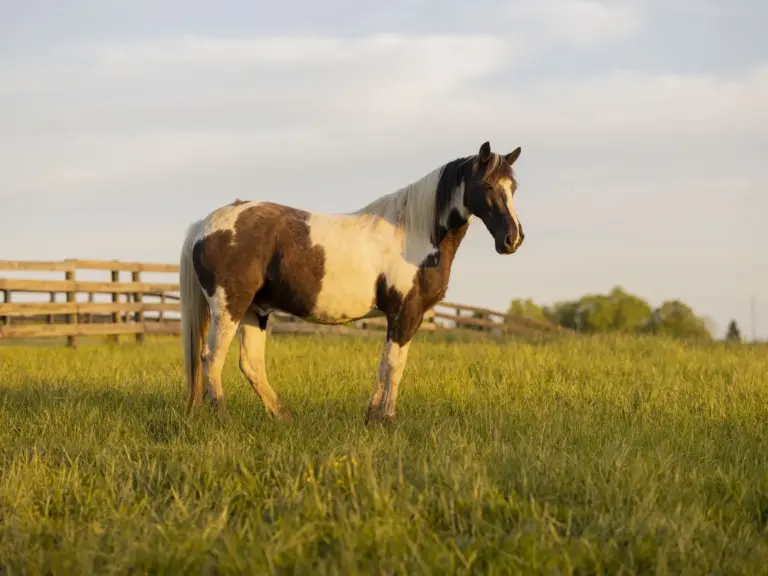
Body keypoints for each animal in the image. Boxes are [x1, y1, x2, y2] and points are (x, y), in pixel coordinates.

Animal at [179, 141, 525, 425]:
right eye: (487, 184)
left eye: (514, 187)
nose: (513, 239)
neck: (413, 232)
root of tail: (203, 225)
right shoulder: (405, 313)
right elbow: (394, 365)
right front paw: (386, 419)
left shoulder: (403, 316)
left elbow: (387, 365)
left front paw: (373, 416)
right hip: (230, 307)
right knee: (211, 358)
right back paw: (223, 418)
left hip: (256, 310)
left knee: (250, 364)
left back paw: (283, 417)